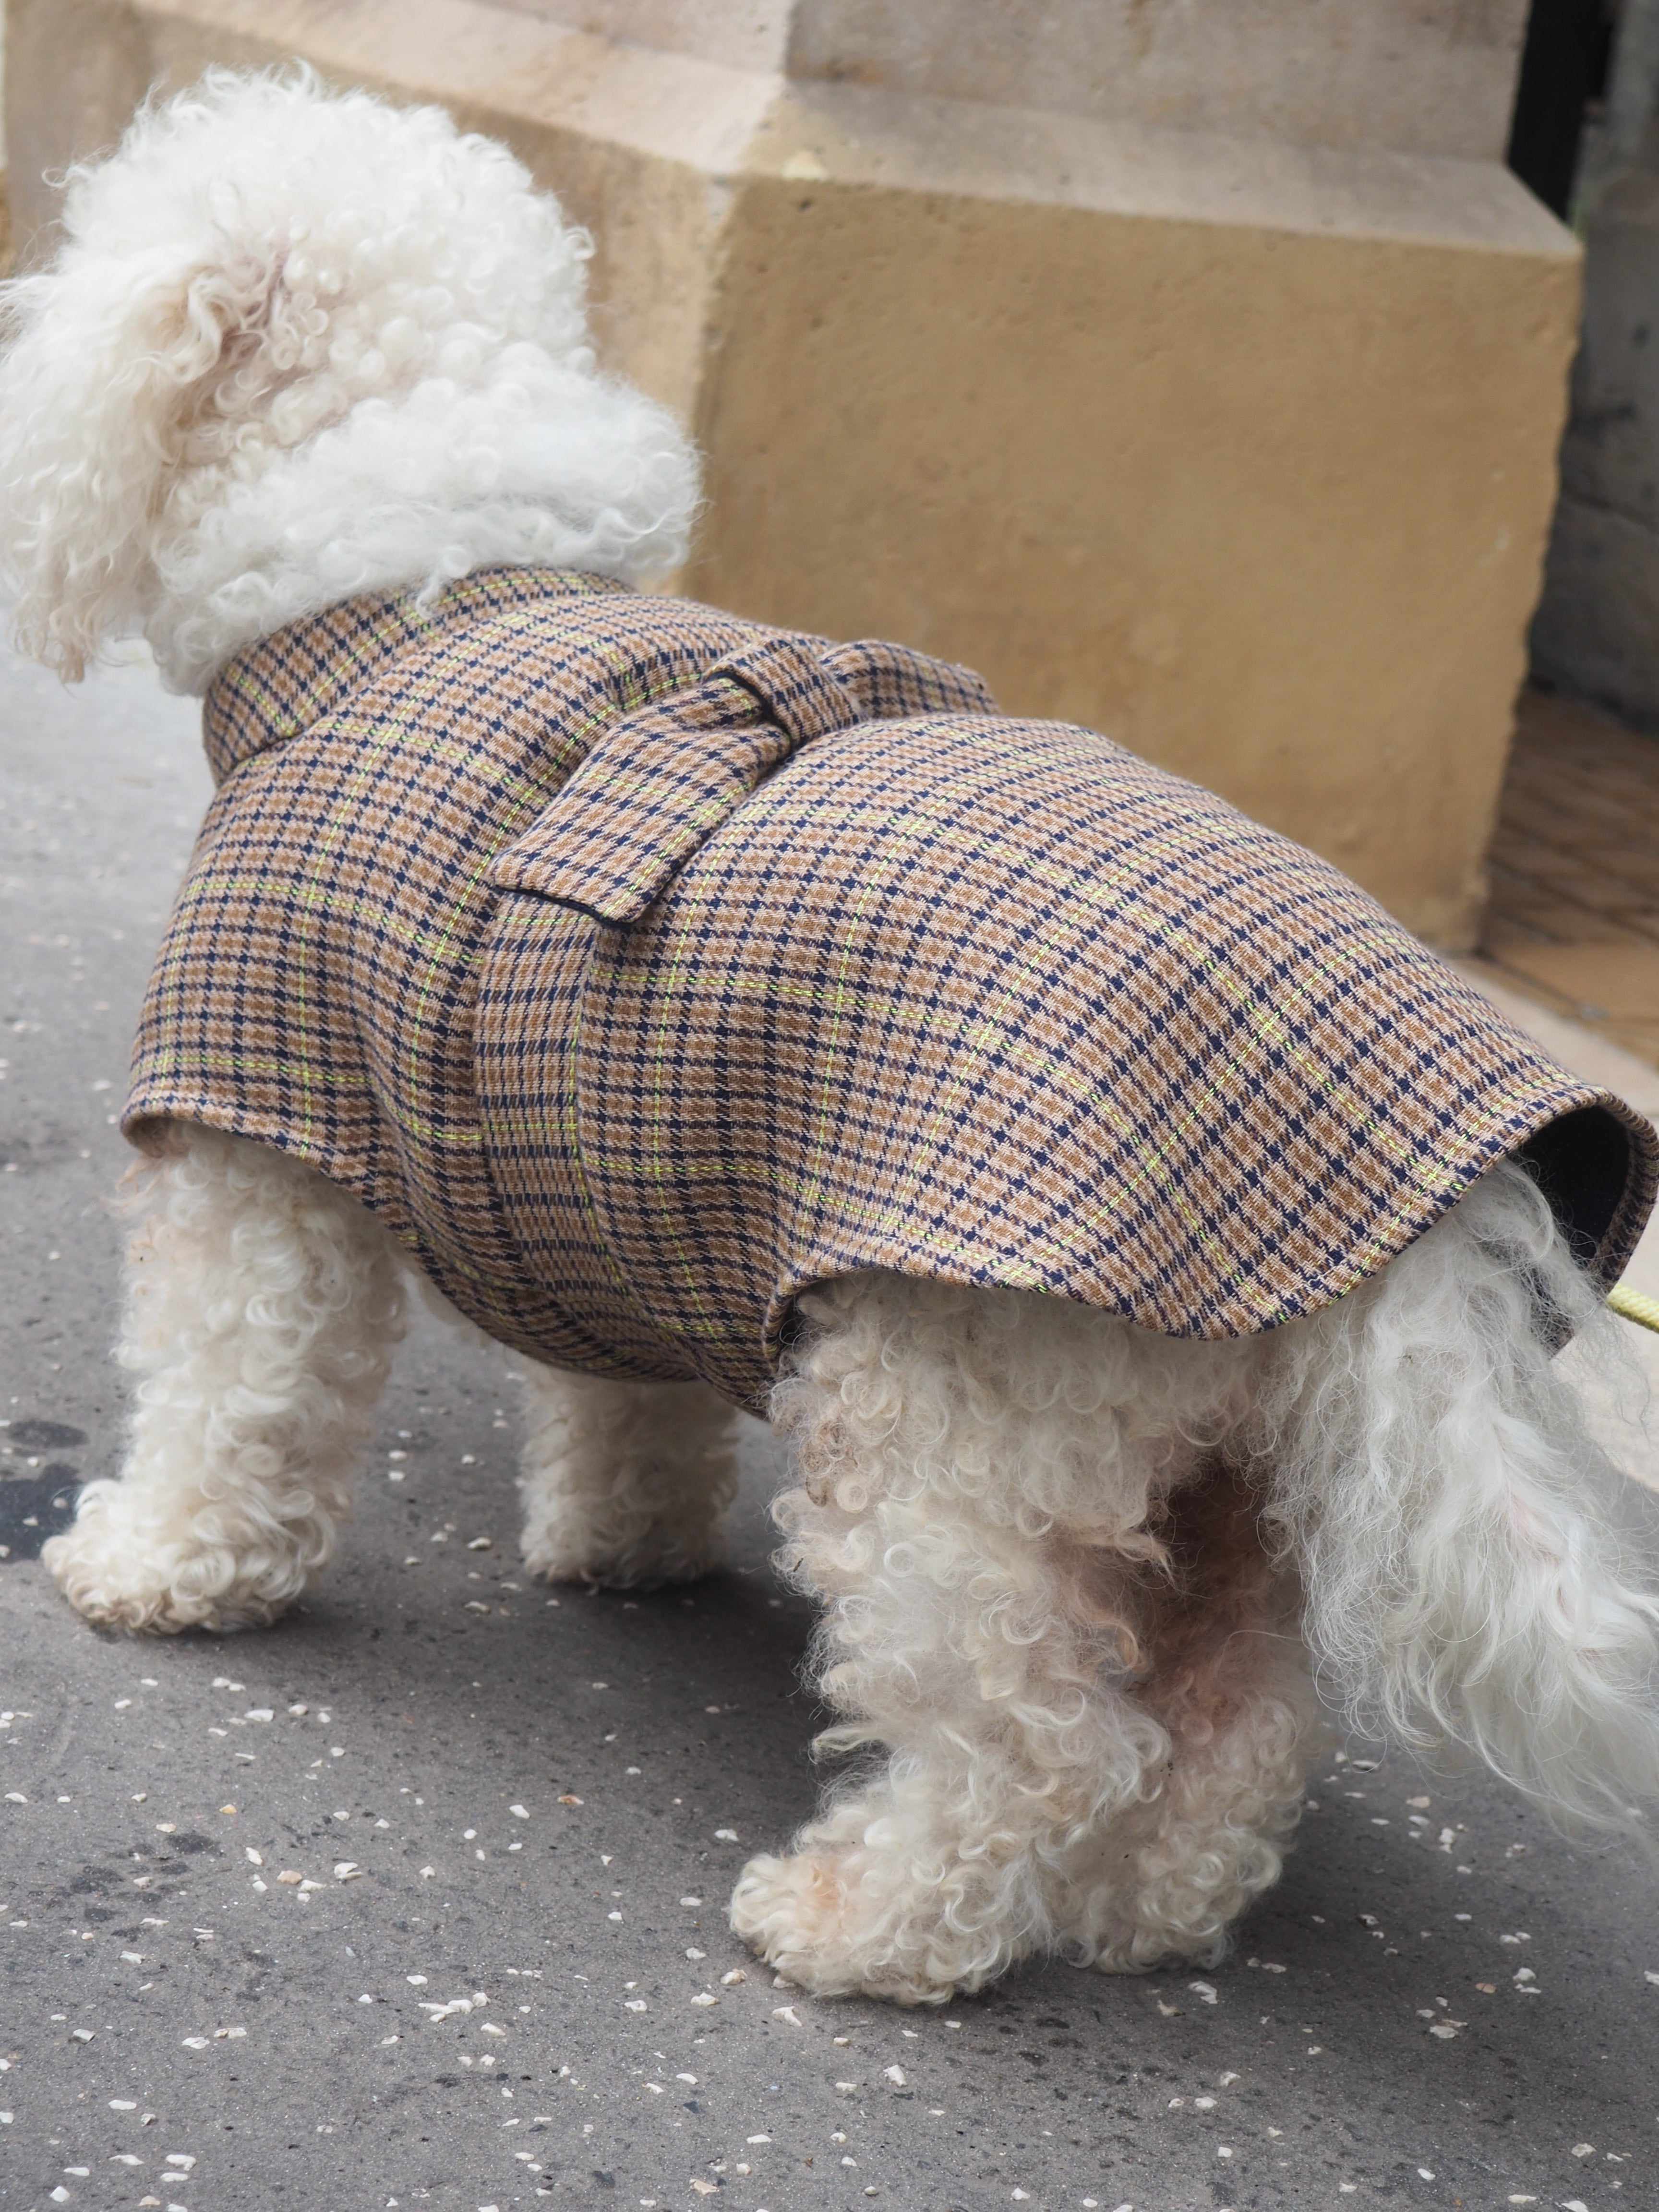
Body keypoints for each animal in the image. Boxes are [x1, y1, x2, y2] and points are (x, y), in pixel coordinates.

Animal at [3, 69, 1659, 2008]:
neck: (422, 574)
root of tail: (1413, 1199)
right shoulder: (613, 1159)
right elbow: (628, 1393)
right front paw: (624, 1542)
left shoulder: (256, 1140)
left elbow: (228, 1396)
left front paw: (163, 1564)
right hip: (1225, 1469)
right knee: (1233, 1723)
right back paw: (1153, 1909)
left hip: (951, 1433)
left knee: (1030, 1734)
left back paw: (873, 1924)